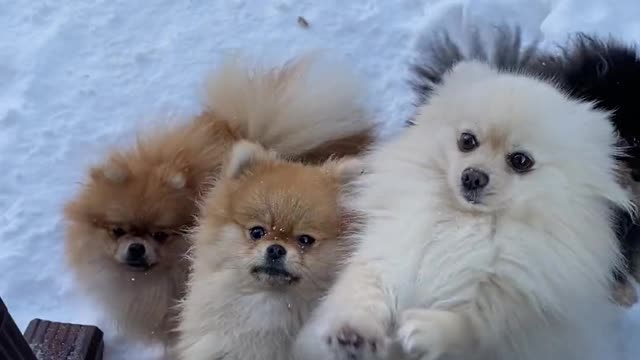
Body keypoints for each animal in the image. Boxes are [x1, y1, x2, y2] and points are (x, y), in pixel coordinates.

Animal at [296, 60, 636, 358]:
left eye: (521, 161)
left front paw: (427, 330)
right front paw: (354, 333)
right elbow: (365, 292)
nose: (473, 176)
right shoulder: (390, 253)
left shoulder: (513, 301)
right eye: (467, 141)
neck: (464, 221)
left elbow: (479, 324)